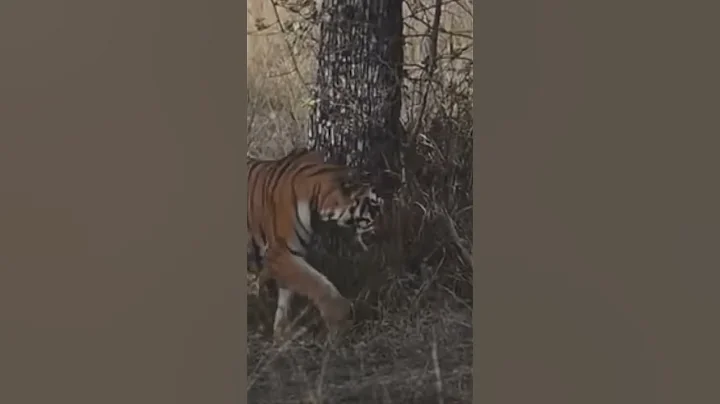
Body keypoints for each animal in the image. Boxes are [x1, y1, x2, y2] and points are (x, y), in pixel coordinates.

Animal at [247, 147, 383, 341]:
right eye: (375, 207)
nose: (387, 230)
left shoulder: (293, 253)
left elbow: (286, 295)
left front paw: (282, 335)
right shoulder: (279, 253)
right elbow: (320, 285)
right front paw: (341, 324)